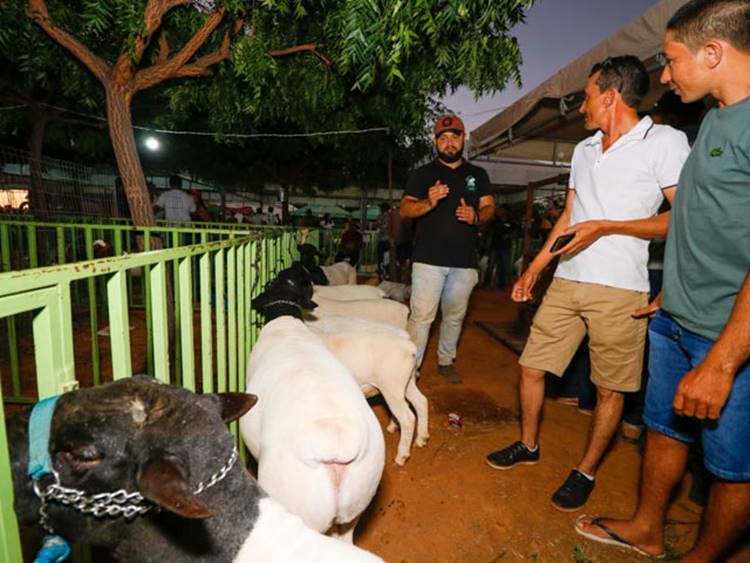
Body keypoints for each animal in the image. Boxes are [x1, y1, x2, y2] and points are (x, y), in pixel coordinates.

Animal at [308, 315, 430, 465]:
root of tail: (409, 348)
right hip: (408, 382)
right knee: (421, 402)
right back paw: (421, 438)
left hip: (392, 387)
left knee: (408, 419)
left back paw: (401, 456)